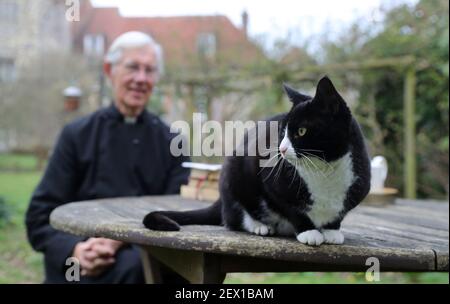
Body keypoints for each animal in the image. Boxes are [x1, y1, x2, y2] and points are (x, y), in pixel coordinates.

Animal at [143, 77, 370, 246]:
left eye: (301, 131)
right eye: (282, 131)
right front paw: (309, 232)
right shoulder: (272, 185)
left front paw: (331, 231)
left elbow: (337, 215)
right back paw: (260, 226)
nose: (281, 149)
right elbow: (292, 209)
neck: (324, 169)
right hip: (233, 173)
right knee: (234, 217)